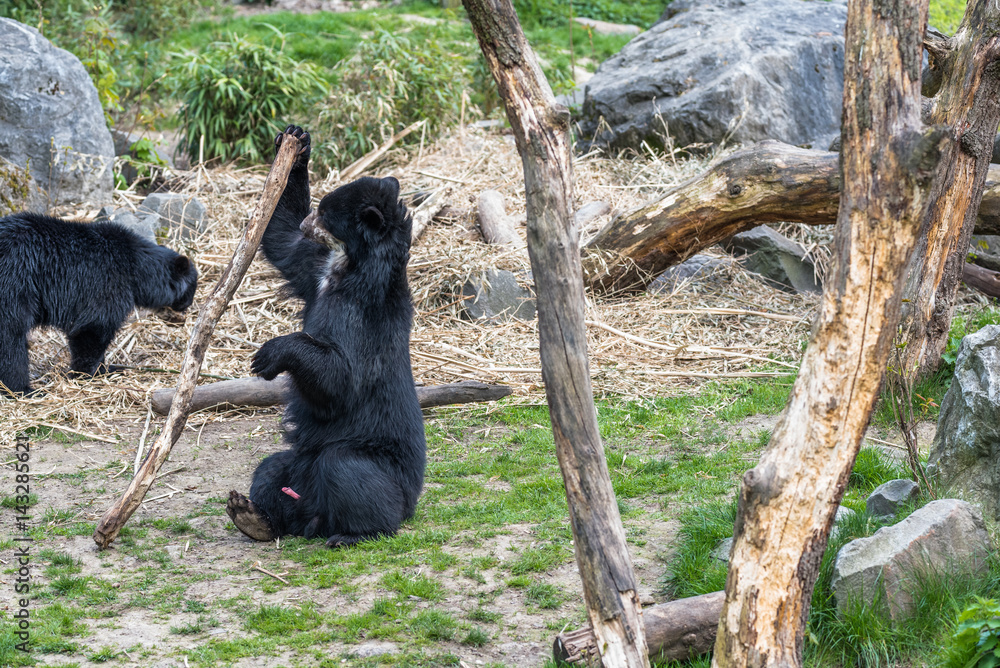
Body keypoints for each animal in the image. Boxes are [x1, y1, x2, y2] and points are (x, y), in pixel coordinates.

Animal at [0, 212, 198, 396]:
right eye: (192, 288)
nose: (187, 306)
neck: (136, 268)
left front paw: (107, 369)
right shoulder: (106, 282)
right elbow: (93, 328)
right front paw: (88, 373)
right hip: (15, 283)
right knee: (11, 337)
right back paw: (22, 389)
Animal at [226, 125, 426, 548]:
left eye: (324, 214)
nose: (308, 224)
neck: (349, 268)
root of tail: (315, 518)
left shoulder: (363, 316)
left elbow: (341, 377)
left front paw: (267, 355)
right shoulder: (315, 270)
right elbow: (283, 242)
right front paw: (296, 143)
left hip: (372, 466)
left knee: (346, 470)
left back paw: (352, 533)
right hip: (296, 465)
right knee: (270, 469)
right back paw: (253, 515)